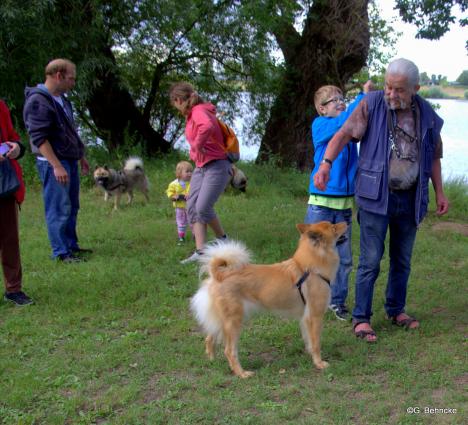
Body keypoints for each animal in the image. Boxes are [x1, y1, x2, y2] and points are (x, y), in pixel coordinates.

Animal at [190, 220, 348, 376]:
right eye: (333, 227)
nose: (346, 222)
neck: (310, 268)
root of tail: (219, 275)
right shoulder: (315, 316)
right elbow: (316, 343)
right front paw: (319, 363)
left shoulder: (305, 318)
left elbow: (309, 341)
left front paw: (312, 357)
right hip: (233, 321)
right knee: (229, 351)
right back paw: (242, 373)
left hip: (223, 320)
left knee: (209, 338)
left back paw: (213, 361)